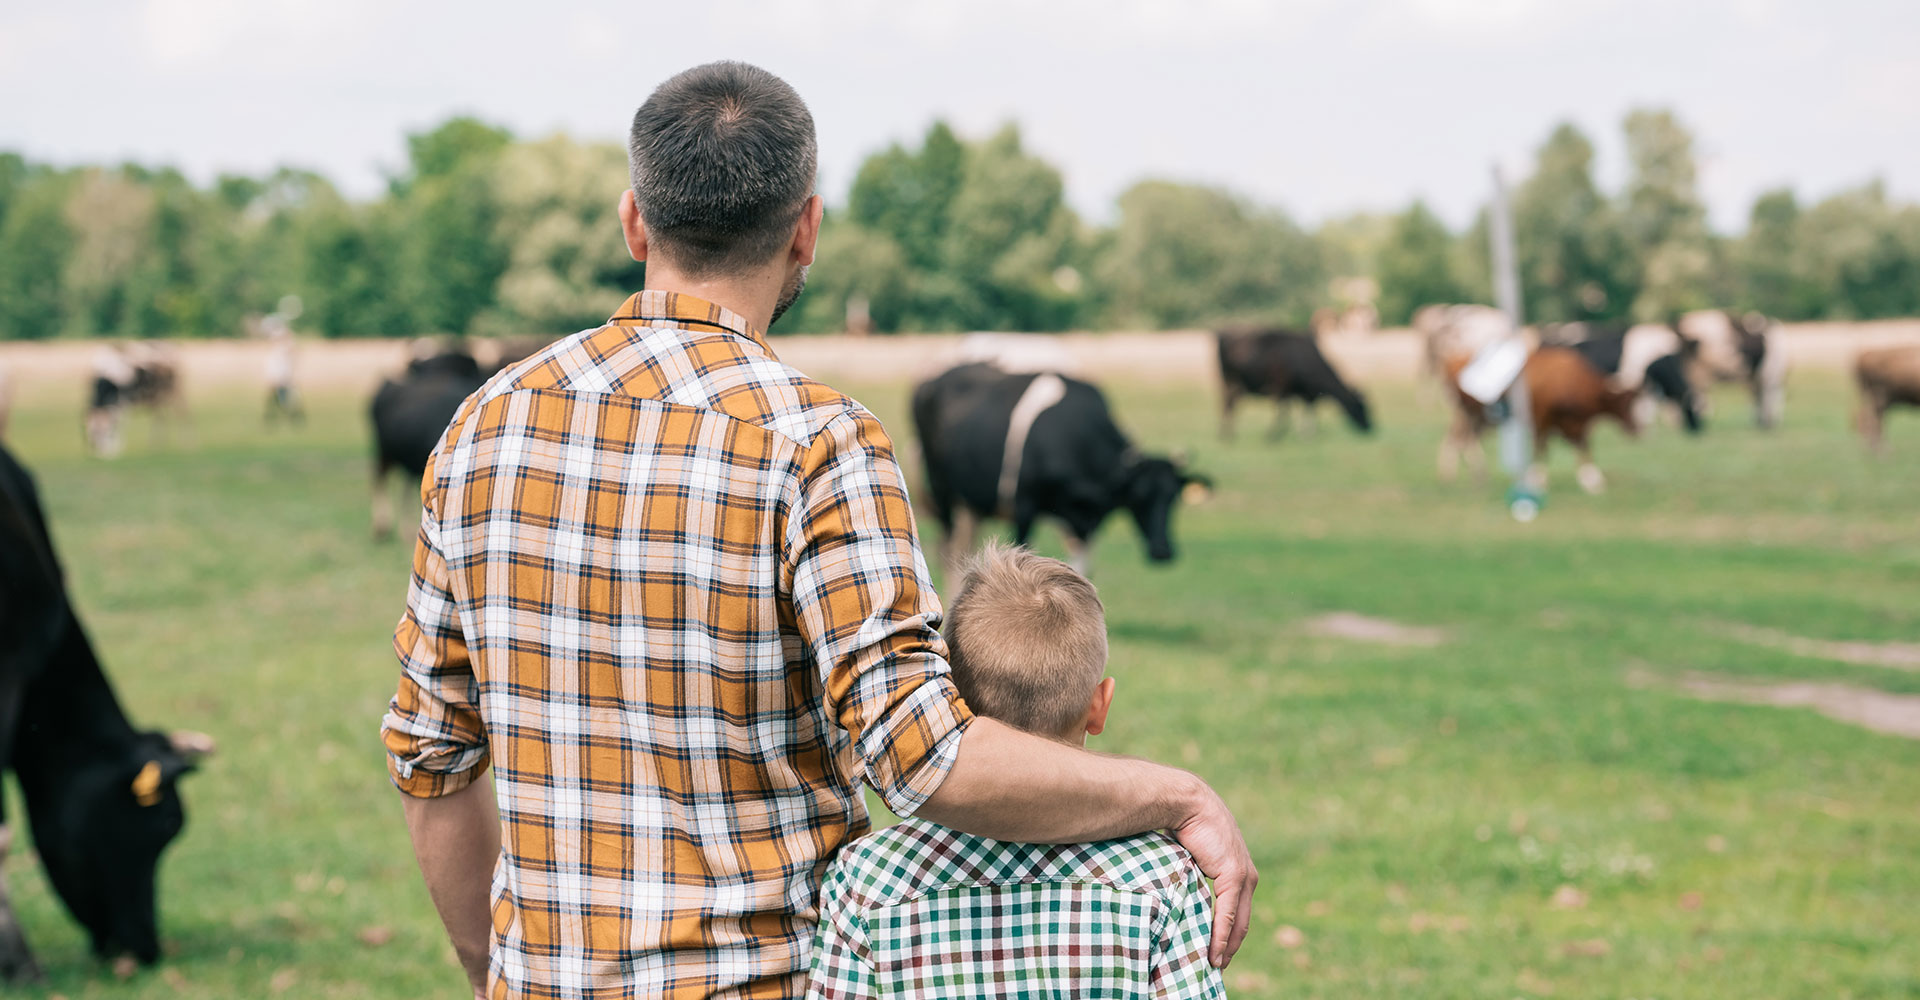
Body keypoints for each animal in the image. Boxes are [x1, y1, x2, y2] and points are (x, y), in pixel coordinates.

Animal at [910, 360, 1205, 575]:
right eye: (1139, 496)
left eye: (1173, 497)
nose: (1163, 551)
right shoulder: (1025, 505)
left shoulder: (1086, 523)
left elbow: (1082, 571)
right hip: (940, 489)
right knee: (947, 552)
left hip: (971, 504)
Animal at [1205, 328, 1374, 441]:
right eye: (1361, 407)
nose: (1370, 427)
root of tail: (1224, 334)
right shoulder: (1281, 388)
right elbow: (1283, 413)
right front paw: (1274, 436)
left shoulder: (1301, 393)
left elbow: (1306, 411)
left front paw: (1306, 434)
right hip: (1231, 382)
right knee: (1228, 405)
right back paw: (1227, 436)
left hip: (1235, 386)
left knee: (1230, 405)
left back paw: (1228, 435)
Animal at [1443, 347, 1643, 495]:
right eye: (1625, 403)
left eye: (1635, 401)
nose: (1636, 428)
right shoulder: (1542, 419)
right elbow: (1542, 448)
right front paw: (1538, 481)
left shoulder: (1575, 423)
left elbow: (1582, 446)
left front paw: (1592, 481)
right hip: (1470, 415)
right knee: (1460, 441)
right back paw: (1457, 476)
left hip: (1479, 419)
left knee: (1464, 442)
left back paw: (1475, 477)